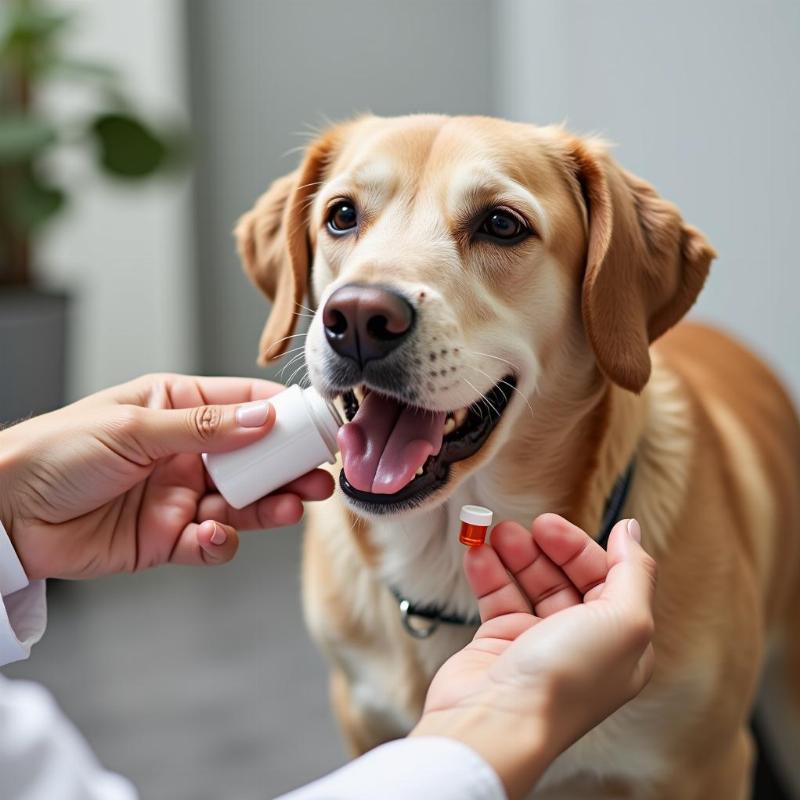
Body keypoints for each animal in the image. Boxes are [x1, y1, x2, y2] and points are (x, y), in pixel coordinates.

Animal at [236, 115, 800, 796]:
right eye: (341, 215)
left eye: (502, 225)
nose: (359, 317)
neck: (444, 568)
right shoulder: (361, 721)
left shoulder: (708, 763)